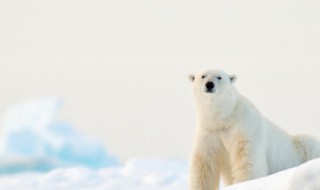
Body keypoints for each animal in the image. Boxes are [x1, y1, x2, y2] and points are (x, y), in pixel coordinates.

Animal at [188, 70, 320, 190]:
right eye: (202, 76)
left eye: (219, 77)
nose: (209, 84)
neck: (225, 118)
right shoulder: (209, 132)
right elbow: (204, 164)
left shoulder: (245, 128)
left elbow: (248, 160)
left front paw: (244, 184)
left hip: (302, 148)